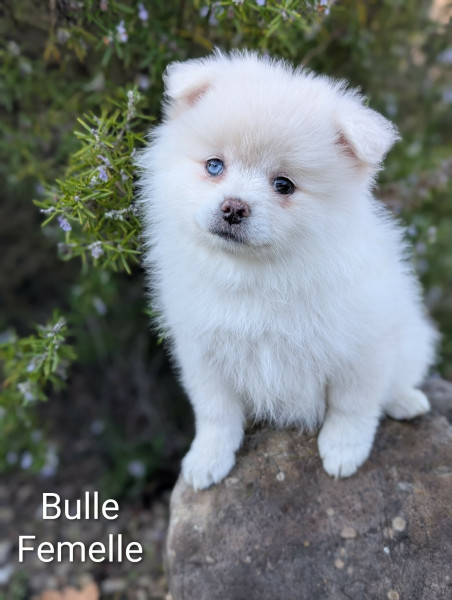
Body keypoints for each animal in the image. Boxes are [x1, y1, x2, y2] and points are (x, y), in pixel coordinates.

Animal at [137, 50, 437, 490]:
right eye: (214, 166)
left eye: (284, 185)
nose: (233, 208)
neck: (256, 271)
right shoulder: (202, 351)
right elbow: (215, 412)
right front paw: (207, 459)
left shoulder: (362, 345)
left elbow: (353, 404)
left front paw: (343, 450)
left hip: (410, 336)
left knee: (401, 374)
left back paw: (405, 400)